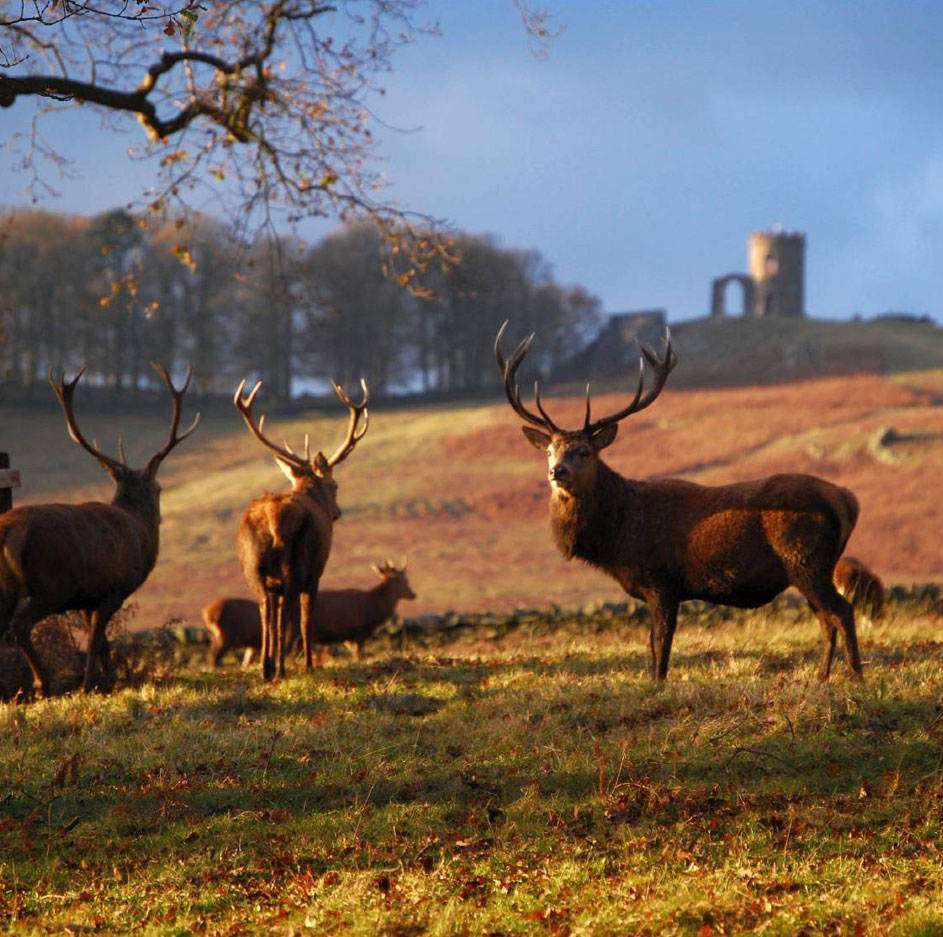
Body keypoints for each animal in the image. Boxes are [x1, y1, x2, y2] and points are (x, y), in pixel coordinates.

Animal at [0, 366, 197, 696]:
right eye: (159, 487)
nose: (160, 517)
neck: (140, 533)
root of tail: (7, 532)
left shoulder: (86, 597)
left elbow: (103, 642)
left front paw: (111, 680)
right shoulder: (114, 588)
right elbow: (95, 639)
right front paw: (90, 684)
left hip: (14, 589)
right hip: (51, 584)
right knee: (20, 625)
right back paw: (43, 683)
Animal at [205, 556, 414, 664]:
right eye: (403, 581)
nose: (413, 594)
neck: (374, 608)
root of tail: (208, 613)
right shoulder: (358, 631)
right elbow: (358, 656)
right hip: (228, 636)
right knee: (214, 657)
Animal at [234, 374, 370, 680]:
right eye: (335, 484)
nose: (337, 512)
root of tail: (273, 518)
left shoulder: (272, 581)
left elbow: (273, 613)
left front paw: (271, 663)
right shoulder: (317, 573)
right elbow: (306, 618)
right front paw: (308, 663)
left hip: (253, 566)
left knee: (264, 607)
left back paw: (266, 669)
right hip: (299, 561)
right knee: (289, 613)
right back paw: (283, 669)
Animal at [498, 322, 868, 680]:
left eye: (584, 451)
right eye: (550, 450)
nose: (556, 471)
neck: (619, 536)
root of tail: (847, 500)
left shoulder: (662, 580)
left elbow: (661, 642)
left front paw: (657, 684)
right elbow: (653, 643)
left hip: (807, 559)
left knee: (842, 611)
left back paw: (855, 676)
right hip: (811, 567)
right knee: (825, 618)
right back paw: (821, 678)